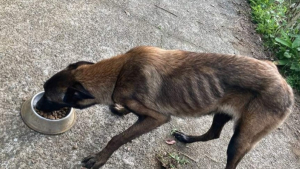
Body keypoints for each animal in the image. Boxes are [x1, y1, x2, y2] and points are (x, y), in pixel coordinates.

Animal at [36, 46, 294, 169]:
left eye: (49, 97)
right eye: (44, 91)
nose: (37, 104)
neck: (119, 72)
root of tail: (285, 85)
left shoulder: (156, 118)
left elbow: (117, 139)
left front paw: (99, 159)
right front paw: (121, 110)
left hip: (241, 139)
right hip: (220, 112)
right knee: (213, 133)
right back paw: (187, 138)